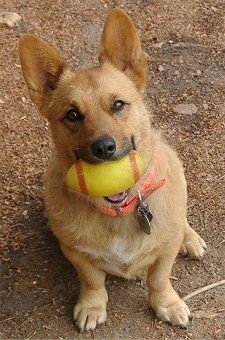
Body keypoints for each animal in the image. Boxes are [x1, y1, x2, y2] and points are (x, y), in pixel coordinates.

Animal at [18, 8, 206, 332]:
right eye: (72, 115)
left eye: (118, 104)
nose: (104, 148)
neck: (120, 212)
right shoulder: (77, 254)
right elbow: (93, 281)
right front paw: (92, 306)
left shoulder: (164, 253)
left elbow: (159, 279)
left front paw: (167, 304)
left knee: (181, 221)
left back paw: (190, 238)